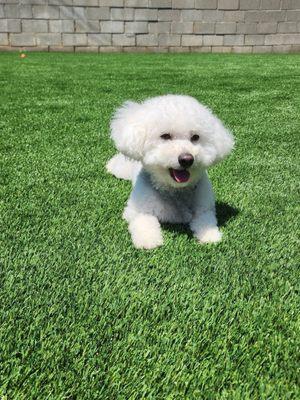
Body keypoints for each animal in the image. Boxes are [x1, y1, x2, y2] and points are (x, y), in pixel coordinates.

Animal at [106, 95, 234, 248]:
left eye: (195, 137)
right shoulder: (134, 210)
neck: (176, 190)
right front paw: (148, 240)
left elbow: (205, 221)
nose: (187, 159)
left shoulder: (205, 208)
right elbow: (144, 220)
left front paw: (210, 235)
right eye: (165, 136)